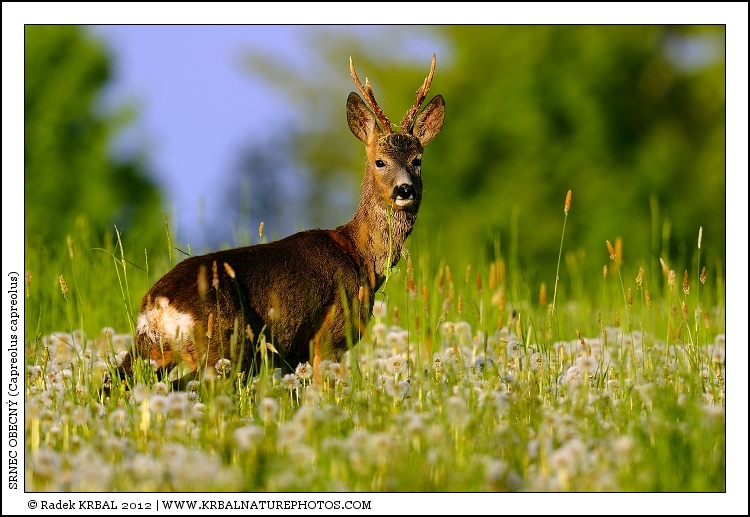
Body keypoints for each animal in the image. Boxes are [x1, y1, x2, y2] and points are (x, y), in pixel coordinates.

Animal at [118, 54, 445, 388]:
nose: (404, 189)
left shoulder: (295, 354)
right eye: (380, 161)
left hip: (153, 351)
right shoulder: (330, 336)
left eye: (417, 160)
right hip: (225, 348)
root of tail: (156, 306)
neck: (360, 257)